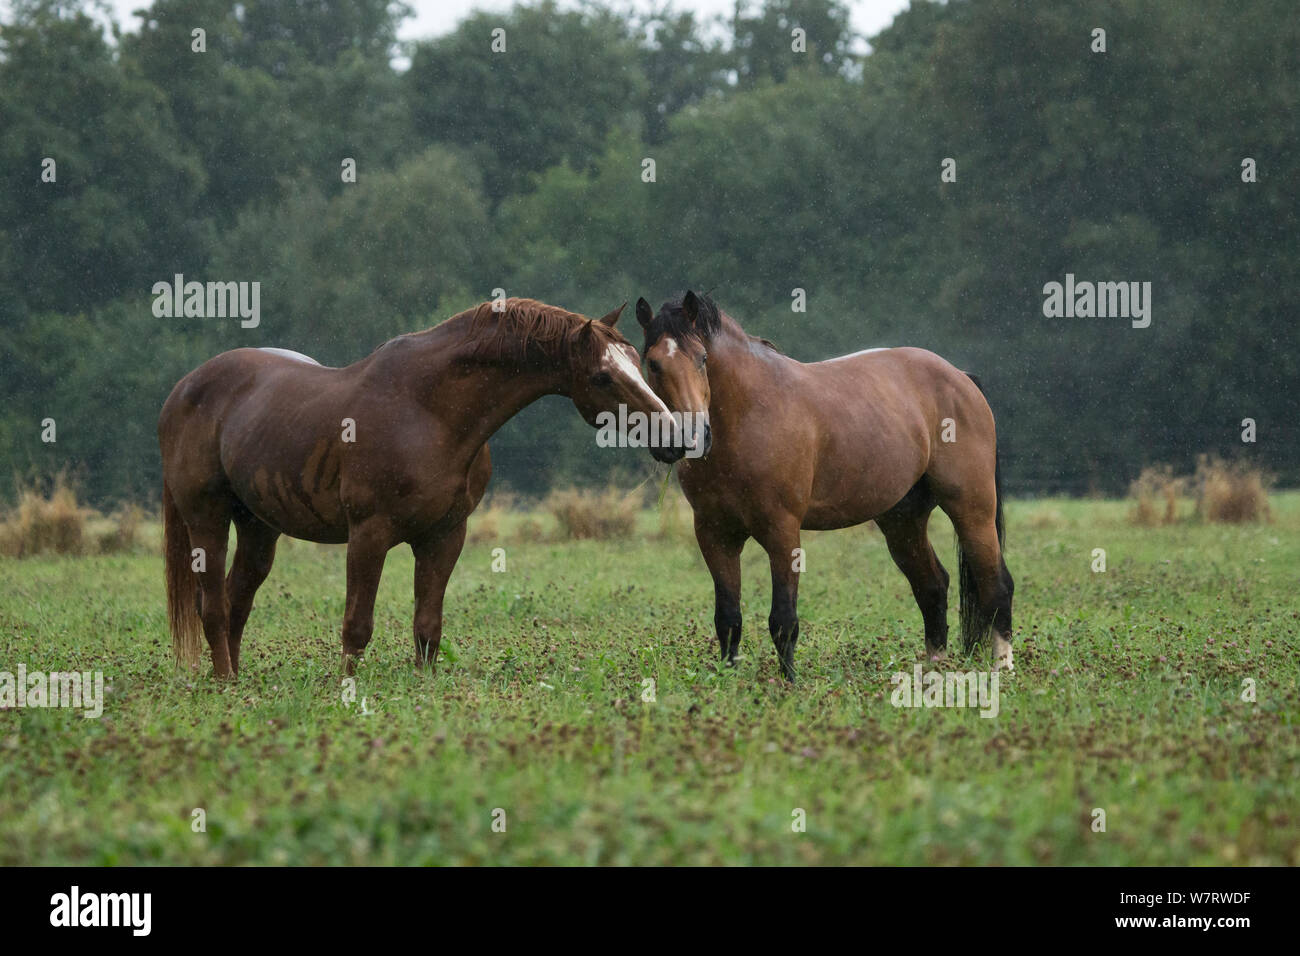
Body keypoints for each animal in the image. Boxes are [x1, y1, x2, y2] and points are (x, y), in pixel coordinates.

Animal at [159, 299, 681, 681]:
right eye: (602, 375)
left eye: (638, 363)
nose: (674, 437)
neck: (429, 411)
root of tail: (182, 389)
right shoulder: (368, 535)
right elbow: (357, 627)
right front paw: (347, 689)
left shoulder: (444, 536)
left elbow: (428, 626)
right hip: (207, 519)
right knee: (213, 606)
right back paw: (225, 683)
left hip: (259, 527)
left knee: (237, 601)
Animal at [631, 290, 1013, 681]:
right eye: (653, 363)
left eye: (703, 358)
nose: (688, 437)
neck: (750, 413)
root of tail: (960, 378)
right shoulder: (714, 534)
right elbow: (728, 619)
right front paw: (728, 680)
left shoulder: (782, 531)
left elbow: (783, 620)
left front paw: (788, 683)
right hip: (902, 522)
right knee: (932, 586)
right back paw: (934, 672)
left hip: (972, 510)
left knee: (996, 585)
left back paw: (1004, 669)